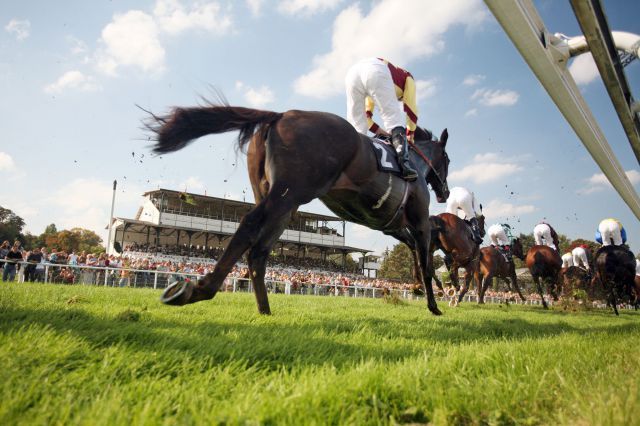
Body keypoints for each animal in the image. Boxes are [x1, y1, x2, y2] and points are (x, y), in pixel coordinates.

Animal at [149, 101, 450, 314]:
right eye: (447, 160)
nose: (445, 192)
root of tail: (279, 115)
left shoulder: (391, 225)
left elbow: (415, 253)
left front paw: (421, 289)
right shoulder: (420, 221)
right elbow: (426, 261)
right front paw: (434, 303)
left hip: (281, 201)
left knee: (259, 250)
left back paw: (264, 309)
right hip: (289, 193)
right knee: (249, 225)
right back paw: (202, 289)